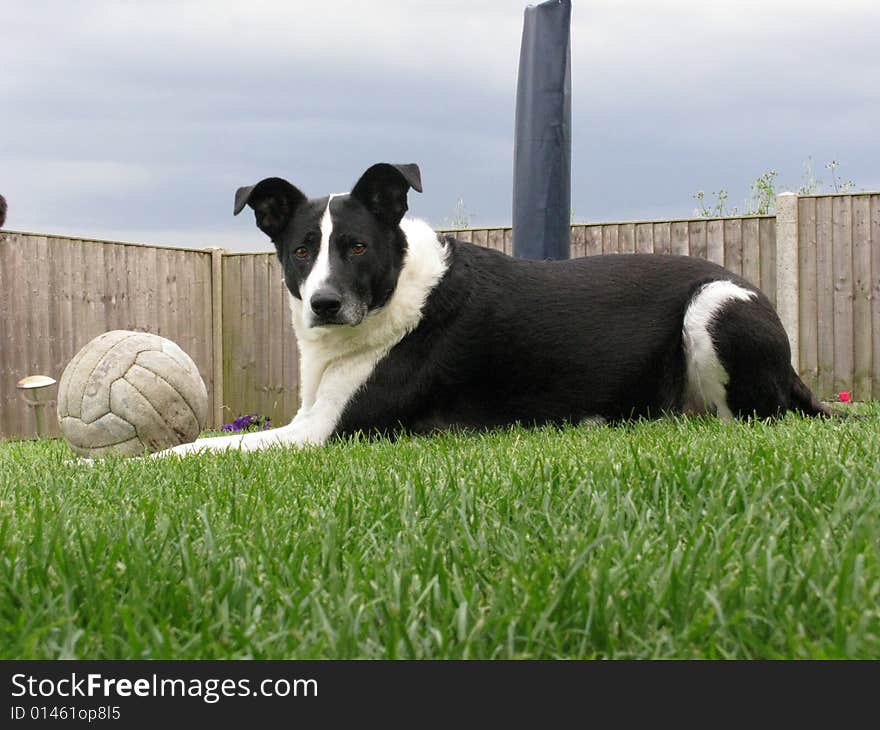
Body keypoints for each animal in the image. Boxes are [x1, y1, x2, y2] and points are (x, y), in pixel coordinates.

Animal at [162, 163, 828, 456]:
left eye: (356, 246)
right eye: (302, 249)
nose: (325, 303)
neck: (396, 300)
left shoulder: (326, 432)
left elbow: (196, 450)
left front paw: (134, 468)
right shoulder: (309, 419)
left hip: (712, 308)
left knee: (746, 419)